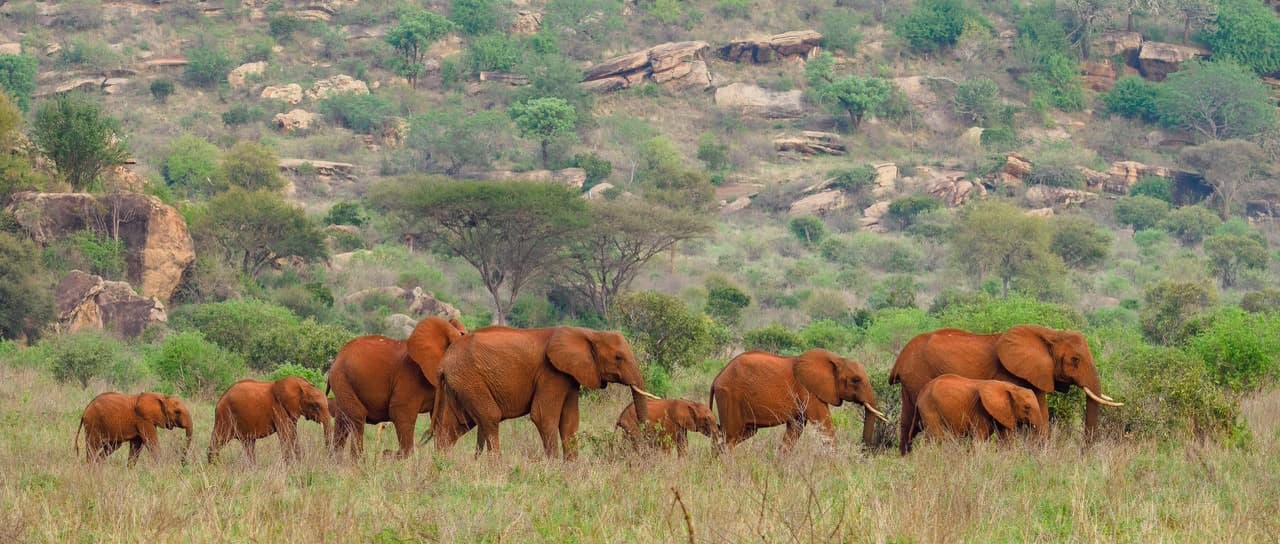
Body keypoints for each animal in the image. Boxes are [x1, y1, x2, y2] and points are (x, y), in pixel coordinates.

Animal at [326, 316, 465, 459]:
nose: (385, 451)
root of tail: (336, 358)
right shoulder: (409, 376)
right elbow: (400, 412)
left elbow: (440, 419)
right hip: (342, 378)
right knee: (357, 417)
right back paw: (357, 462)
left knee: (342, 420)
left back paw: (335, 461)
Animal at [430, 326, 658, 459]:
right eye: (618, 357)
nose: (647, 449)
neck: (588, 333)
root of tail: (442, 363)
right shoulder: (551, 373)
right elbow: (543, 416)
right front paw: (554, 466)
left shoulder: (569, 376)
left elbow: (570, 421)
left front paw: (572, 468)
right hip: (469, 379)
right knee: (490, 417)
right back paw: (496, 467)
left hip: (458, 384)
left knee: (452, 426)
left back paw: (442, 465)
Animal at [709, 349, 887, 452]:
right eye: (856, 380)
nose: (864, 452)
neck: (836, 359)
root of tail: (716, 378)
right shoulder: (808, 391)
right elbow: (824, 424)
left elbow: (796, 428)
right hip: (730, 396)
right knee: (730, 436)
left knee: (739, 433)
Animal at [916, 375, 1047, 442]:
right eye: (1027, 407)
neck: (1010, 387)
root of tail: (922, 390)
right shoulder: (980, 410)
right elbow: (979, 438)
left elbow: (1005, 438)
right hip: (929, 408)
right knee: (937, 437)